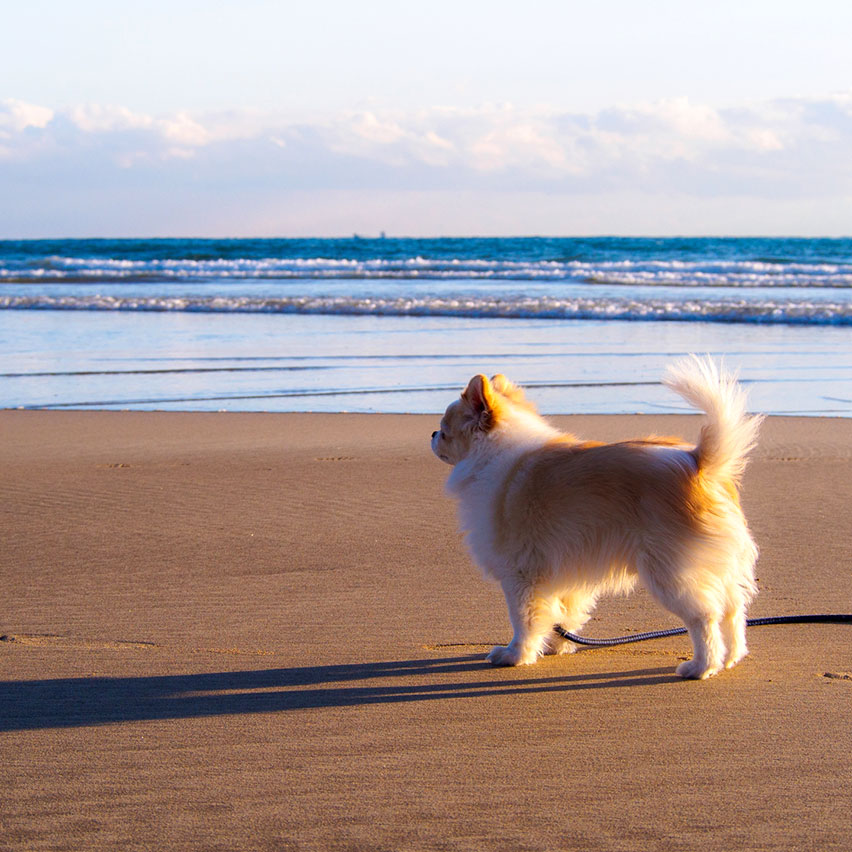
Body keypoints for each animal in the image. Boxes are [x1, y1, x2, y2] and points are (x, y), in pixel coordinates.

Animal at [430, 356, 764, 684]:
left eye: (444, 429)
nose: (432, 435)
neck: (493, 453)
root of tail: (698, 462)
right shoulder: (563, 571)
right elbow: (562, 612)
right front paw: (555, 645)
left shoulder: (520, 576)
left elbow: (523, 620)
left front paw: (516, 655)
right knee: (733, 611)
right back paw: (731, 657)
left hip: (672, 573)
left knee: (705, 617)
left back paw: (701, 666)